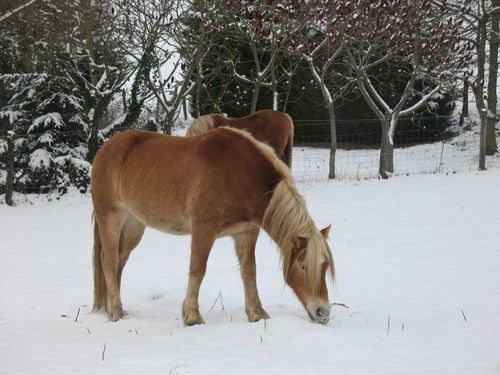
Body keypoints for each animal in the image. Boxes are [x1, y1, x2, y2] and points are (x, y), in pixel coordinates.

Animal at [92, 127, 334, 326]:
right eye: (304, 266)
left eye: (325, 266)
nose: (323, 314)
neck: (238, 173)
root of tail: (105, 148)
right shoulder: (203, 230)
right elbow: (198, 270)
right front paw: (192, 316)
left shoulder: (246, 232)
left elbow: (249, 271)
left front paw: (257, 313)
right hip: (111, 218)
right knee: (109, 261)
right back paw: (115, 311)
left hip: (134, 225)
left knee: (120, 261)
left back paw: (115, 309)